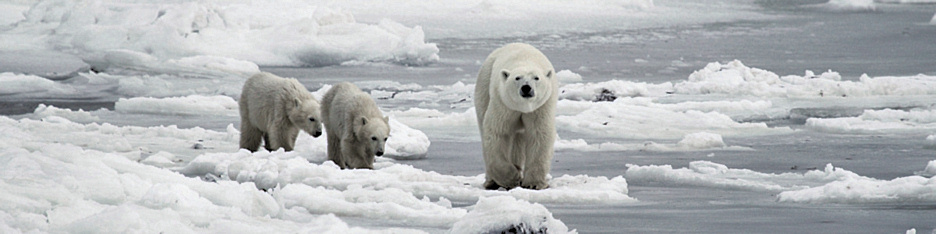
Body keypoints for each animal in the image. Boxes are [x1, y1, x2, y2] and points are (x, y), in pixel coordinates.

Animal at [476, 42, 556, 190]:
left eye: (536, 78)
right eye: (517, 78)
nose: (526, 88)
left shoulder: (541, 107)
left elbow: (539, 134)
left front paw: (533, 183)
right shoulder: (503, 103)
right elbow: (497, 132)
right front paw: (512, 178)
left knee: (518, 138)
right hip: (484, 85)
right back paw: (491, 182)